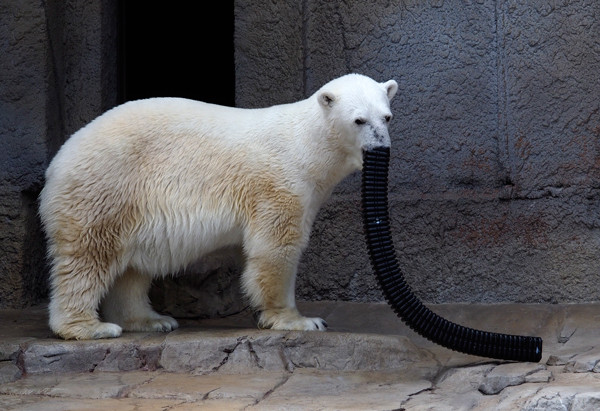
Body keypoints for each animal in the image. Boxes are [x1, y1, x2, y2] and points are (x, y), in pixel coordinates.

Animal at [38, 74, 398, 342]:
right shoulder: (280, 183)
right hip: (106, 188)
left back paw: (152, 320)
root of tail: (58, 161)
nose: (381, 146)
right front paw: (301, 320)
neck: (308, 145)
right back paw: (88, 327)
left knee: (131, 269)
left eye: (387, 117)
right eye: (358, 120)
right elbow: (275, 249)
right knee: (88, 256)